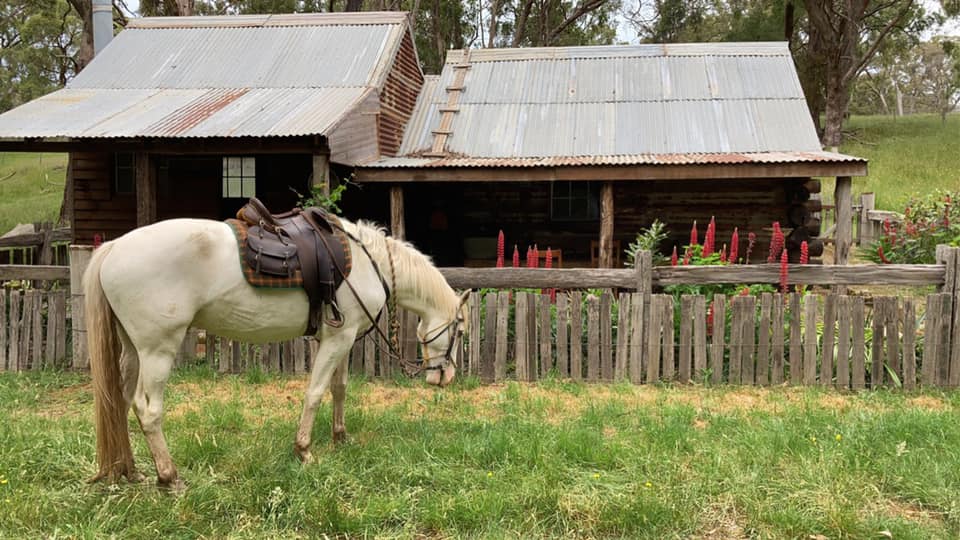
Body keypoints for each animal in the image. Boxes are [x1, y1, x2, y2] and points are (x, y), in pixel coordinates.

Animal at [84, 216, 466, 490]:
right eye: (460, 330)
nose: (445, 376)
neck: (366, 263)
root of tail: (114, 247)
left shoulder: (342, 338)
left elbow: (339, 389)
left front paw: (341, 438)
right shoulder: (337, 340)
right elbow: (315, 393)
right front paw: (304, 450)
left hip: (133, 351)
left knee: (120, 403)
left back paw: (129, 471)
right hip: (157, 351)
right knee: (148, 410)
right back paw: (169, 477)